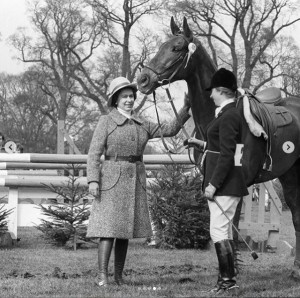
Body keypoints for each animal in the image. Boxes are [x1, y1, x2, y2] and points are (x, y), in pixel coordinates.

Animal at [138, 16, 300, 272]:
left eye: (176, 48)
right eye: (162, 46)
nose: (143, 79)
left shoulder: (236, 179)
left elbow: (231, 226)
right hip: (288, 173)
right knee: (296, 214)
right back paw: (296, 268)